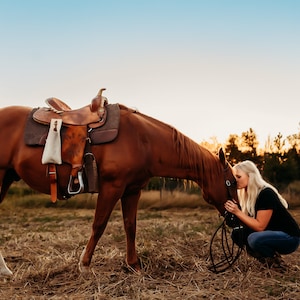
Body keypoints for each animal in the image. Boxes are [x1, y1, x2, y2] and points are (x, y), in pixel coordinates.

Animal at [0, 95, 237, 276]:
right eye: (231, 182)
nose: (235, 217)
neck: (143, 141)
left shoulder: (132, 190)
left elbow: (130, 226)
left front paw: (134, 265)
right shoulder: (112, 187)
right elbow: (99, 225)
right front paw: (84, 265)